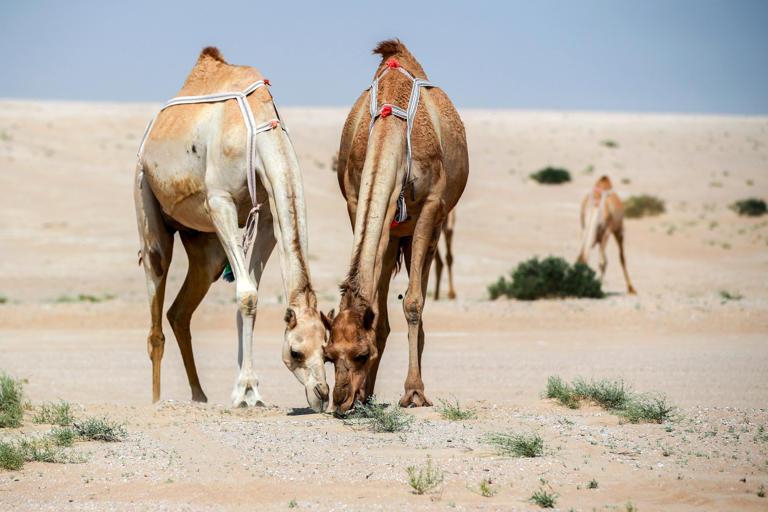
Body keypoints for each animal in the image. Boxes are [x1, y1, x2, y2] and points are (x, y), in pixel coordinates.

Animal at [134, 47, 329, 411]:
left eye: (328, 349)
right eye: (295, 351)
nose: (322, 395)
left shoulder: (266, 218)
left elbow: (250, 293)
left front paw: (248, 391)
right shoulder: (220, 202)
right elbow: (247, 294)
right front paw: (247, 390)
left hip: (203, 242)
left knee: (180, 310)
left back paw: (199, 395)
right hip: (145, 190)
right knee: (156, 283)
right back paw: (155, 399)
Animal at [322, 40, 468, 413]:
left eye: (361, 355)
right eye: (328, 355)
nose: (340, 399)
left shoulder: (430, 205)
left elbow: (413, 303)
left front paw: (414, 392)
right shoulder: (356, 201)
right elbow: (376, 307)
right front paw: (365, 393)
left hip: (433, 226)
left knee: (424, 287)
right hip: (393, 232)